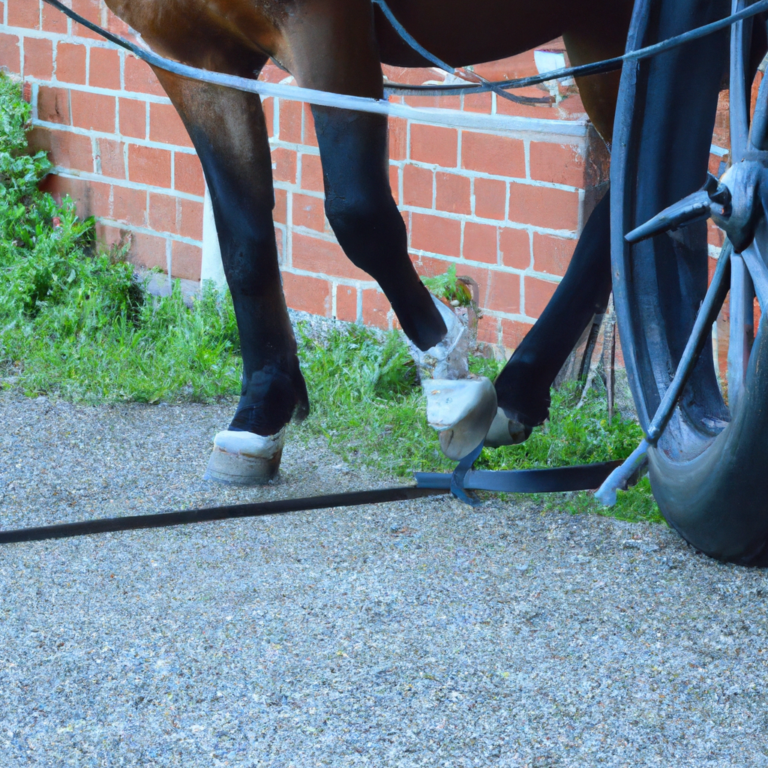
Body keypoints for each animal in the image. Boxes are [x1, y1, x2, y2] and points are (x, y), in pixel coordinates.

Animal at [103, 0, 636, 484]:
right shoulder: (190, 55)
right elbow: (244, 242)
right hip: (599, 28)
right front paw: (261, 409)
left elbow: (358, 215)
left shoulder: (323, 26)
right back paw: (521, 391)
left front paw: (446, 372)